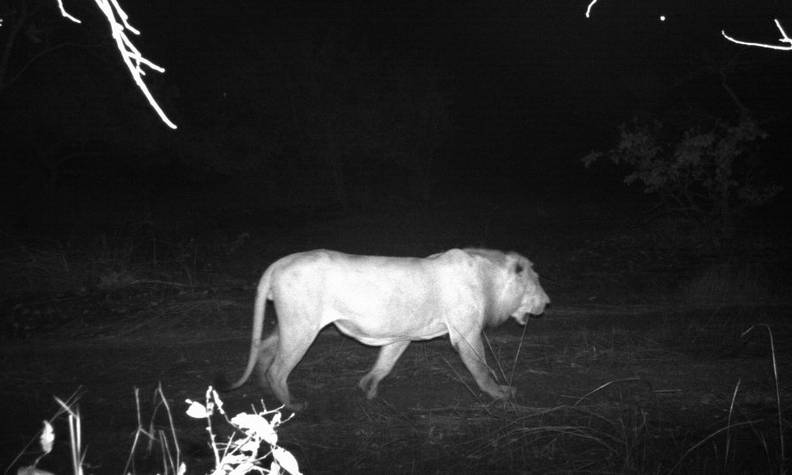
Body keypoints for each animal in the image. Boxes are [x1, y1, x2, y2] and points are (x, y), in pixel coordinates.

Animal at [220, 249, 548, 410]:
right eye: (536, 280)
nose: (547, 302)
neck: (487, 277)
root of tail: (277, 264)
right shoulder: (465, 332)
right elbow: (480, 368)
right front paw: (500, 394)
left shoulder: (403, 334)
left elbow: (385, 363)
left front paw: (368, 388)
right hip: (302, 327)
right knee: (278, 369)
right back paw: (291, 404)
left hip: (294, 323)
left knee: (264, 348)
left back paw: (265, 390)